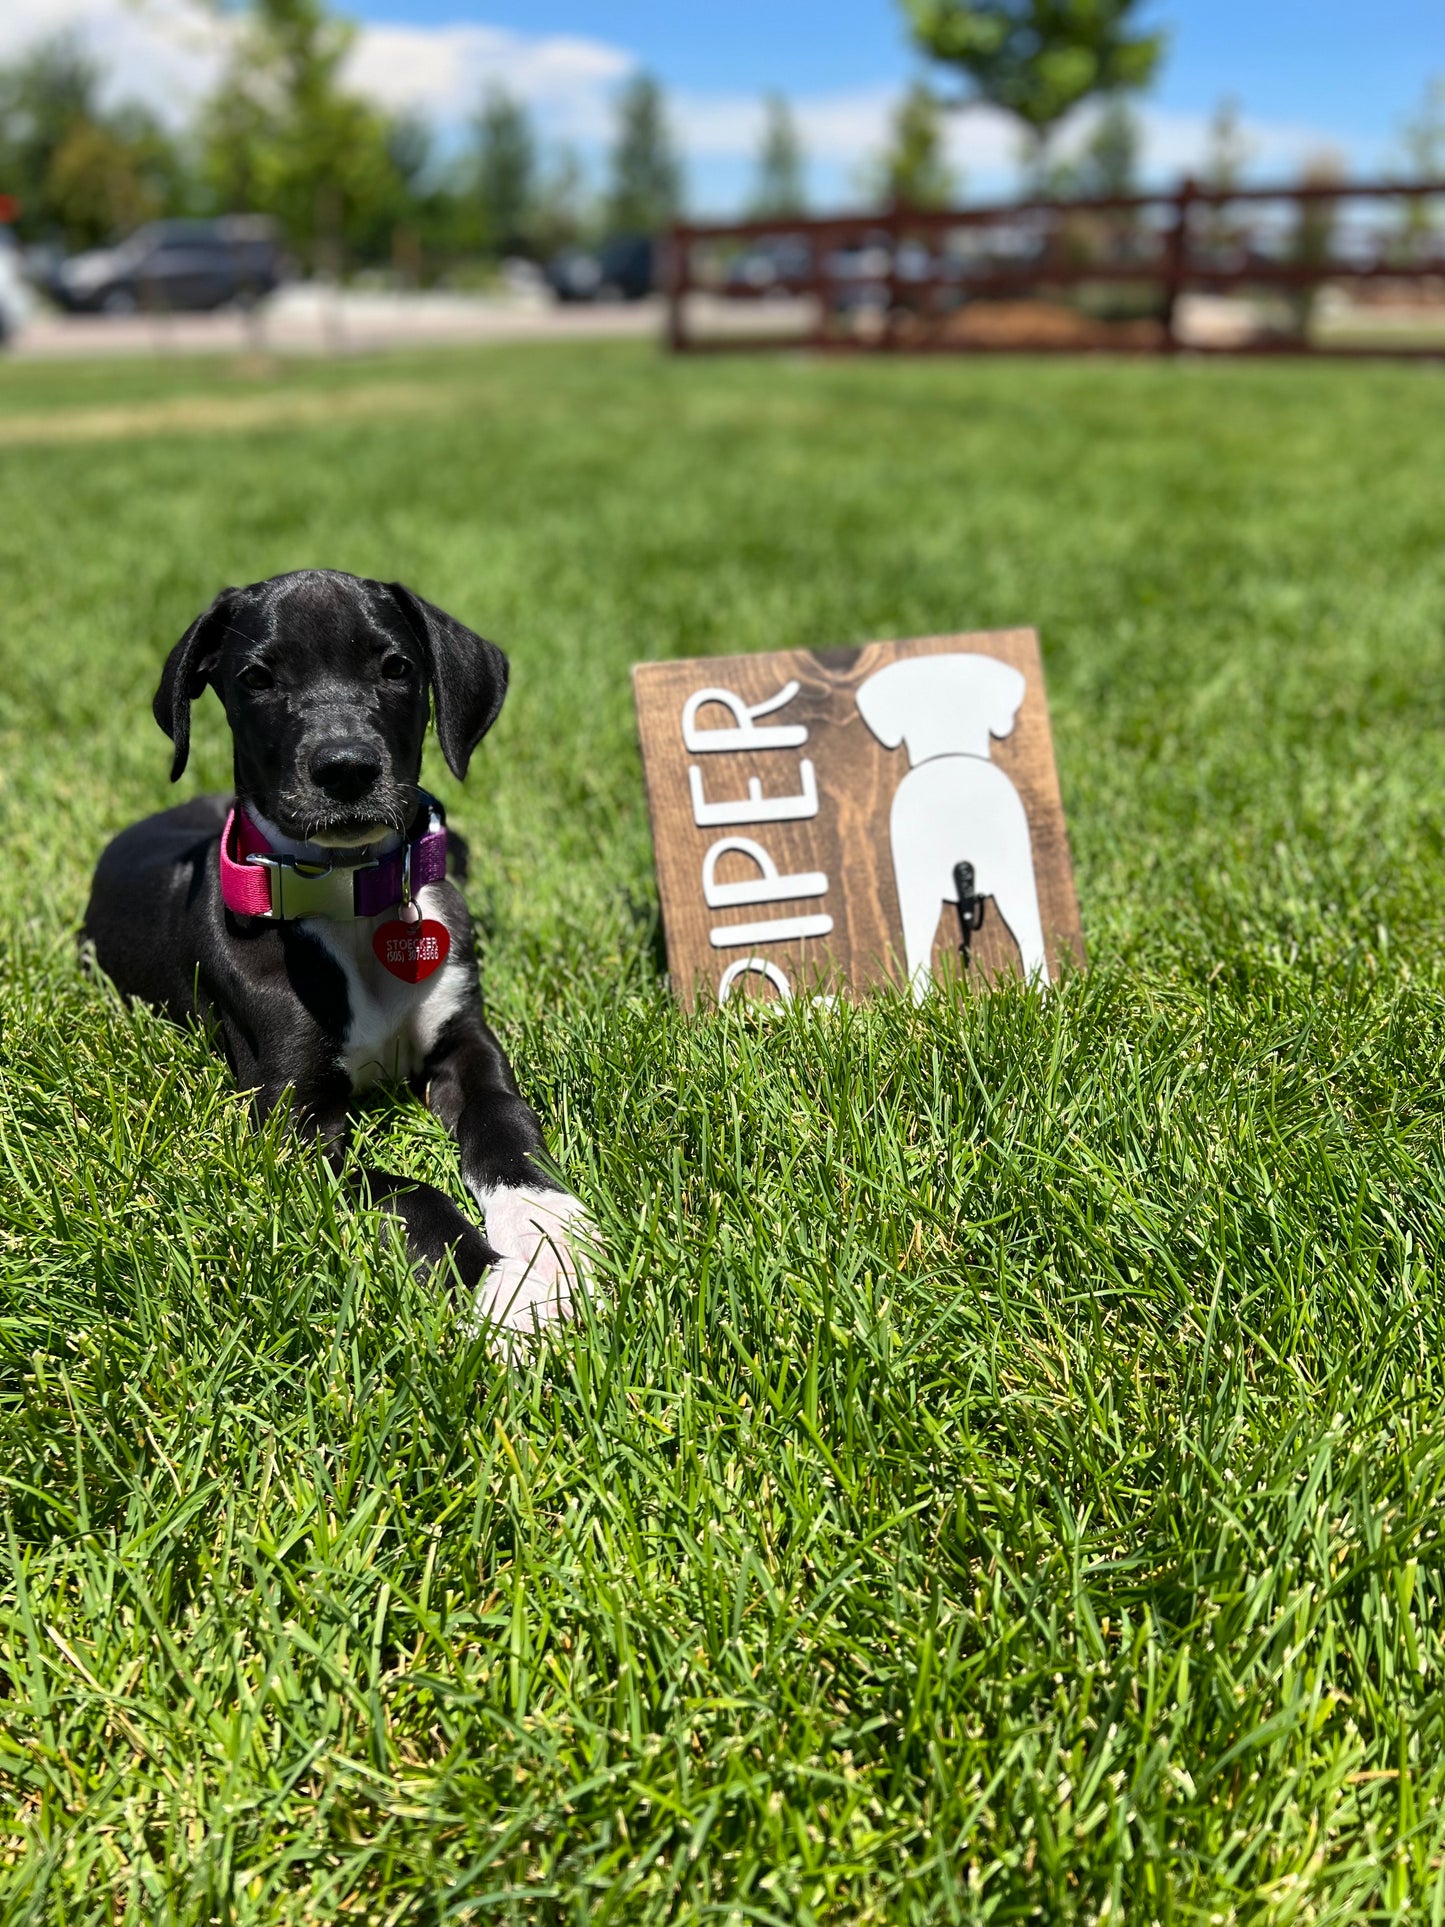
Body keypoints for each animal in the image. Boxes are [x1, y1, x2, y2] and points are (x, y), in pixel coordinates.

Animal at [83, 562, 593, 1333]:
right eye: (258, 678)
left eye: (397, 667)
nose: (346, 768)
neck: (354, 899)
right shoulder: (292, 1121)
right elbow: (410, 1194)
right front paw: (504, 1294)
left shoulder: (467, 1045)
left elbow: (503, 1122)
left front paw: (549, 1229)